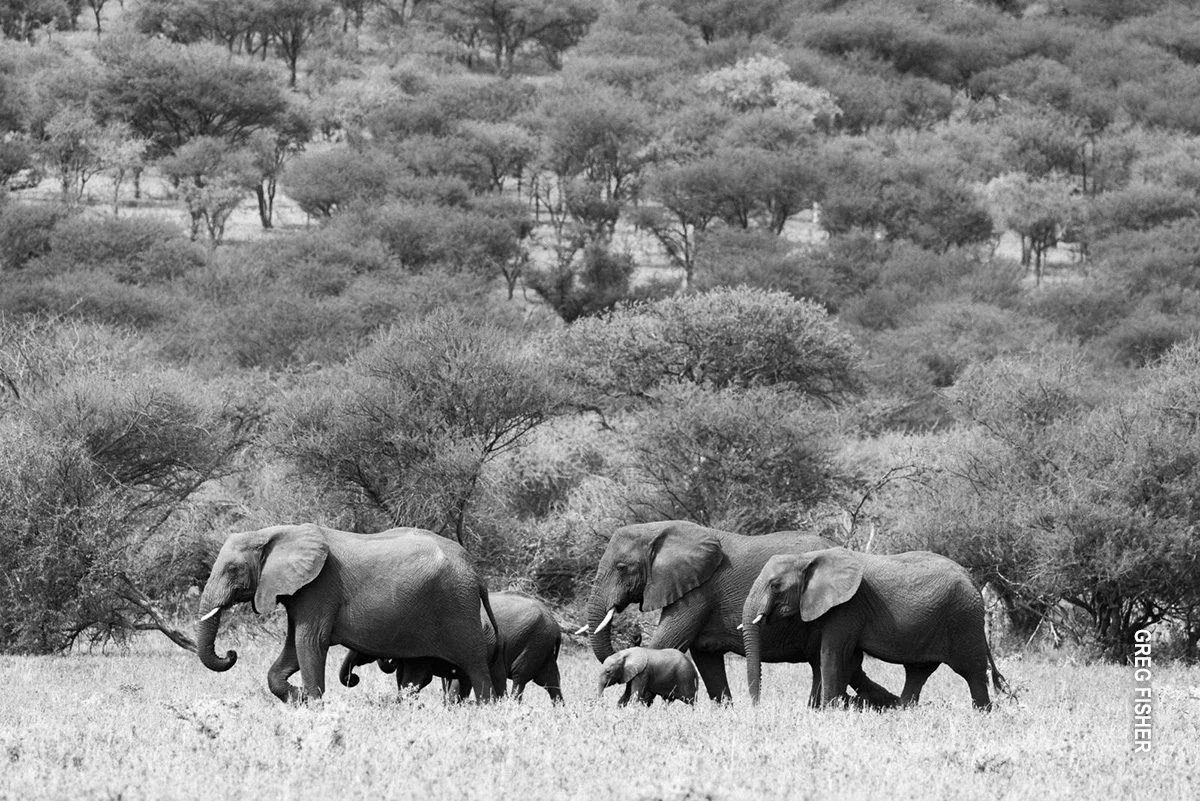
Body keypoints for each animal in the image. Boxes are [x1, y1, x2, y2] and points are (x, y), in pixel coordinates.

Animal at [196, 524, 505, 703]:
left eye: (232, 569)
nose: (231, 653)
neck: (273, 533)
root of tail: (475, 571)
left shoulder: (319, 587)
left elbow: (310, 642)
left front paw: (313, 705)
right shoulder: (300, 591)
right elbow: (293, 648)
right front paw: (298, 698)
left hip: (458, 606)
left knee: (475, 666)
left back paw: (486, 707)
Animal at [340, 591, 565, 704]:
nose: (353, 678)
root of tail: (556, 626)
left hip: (533, 642)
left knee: (519, 677)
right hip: (542, 648)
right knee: (551, 682)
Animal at [581, 520, 899, 706]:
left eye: (622, 567)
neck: (663, 530)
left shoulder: (698, 591)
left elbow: (665, 643)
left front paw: (626, 707)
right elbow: (706, 658)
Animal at [742, 549, 1009, 710]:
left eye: (775, 585)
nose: (757, 707)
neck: (807, 557)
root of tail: (969, 576)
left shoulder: (848, 607)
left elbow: (831, 653)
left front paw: (828, 710)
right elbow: (846, 659)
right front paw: (835, 707)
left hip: (963, 619)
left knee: (972, 671)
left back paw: (982, 713)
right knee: (918, 672)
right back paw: (903, 710)